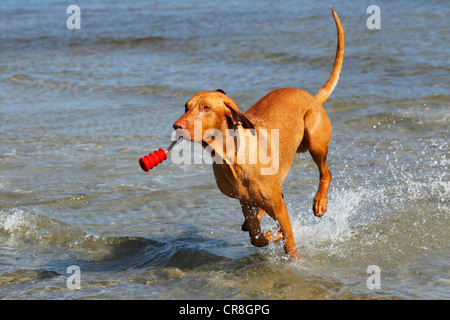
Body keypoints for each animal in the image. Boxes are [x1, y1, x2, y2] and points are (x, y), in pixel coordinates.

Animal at [172, 8, 344, 260]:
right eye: (186, 106)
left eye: (207, 108)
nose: (177, 125)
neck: (230, 158)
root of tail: (312, 98)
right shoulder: (245, 202)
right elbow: (255, 235)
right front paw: (267, 235)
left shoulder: (278, 206)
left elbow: (289, 242)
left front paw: (292, 257)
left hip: (315, 141)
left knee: (326, 172)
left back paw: (320, 202)